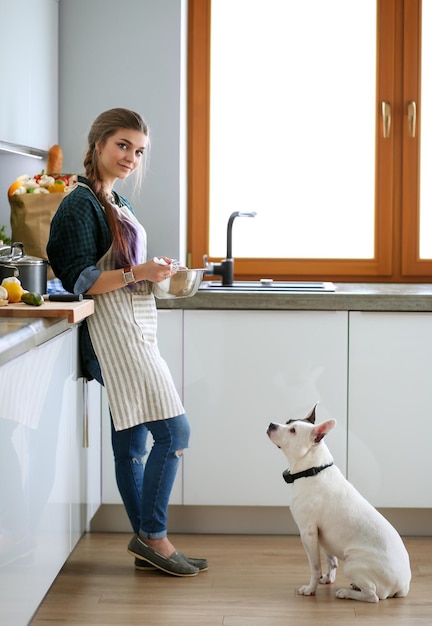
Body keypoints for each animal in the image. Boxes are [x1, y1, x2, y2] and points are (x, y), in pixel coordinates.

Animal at [266, 402, 412, 604]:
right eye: (288, 421)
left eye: (293, 431)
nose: (271, 424)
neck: (313, 469)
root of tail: (403, 585)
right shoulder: (323, 536)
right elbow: (330, 561)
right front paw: (327, 579)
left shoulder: (308, 533)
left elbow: (315, 567)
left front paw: (310, 589)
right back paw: (353, 586)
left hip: (352, 563)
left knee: (373, 595)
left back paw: (346, 593)